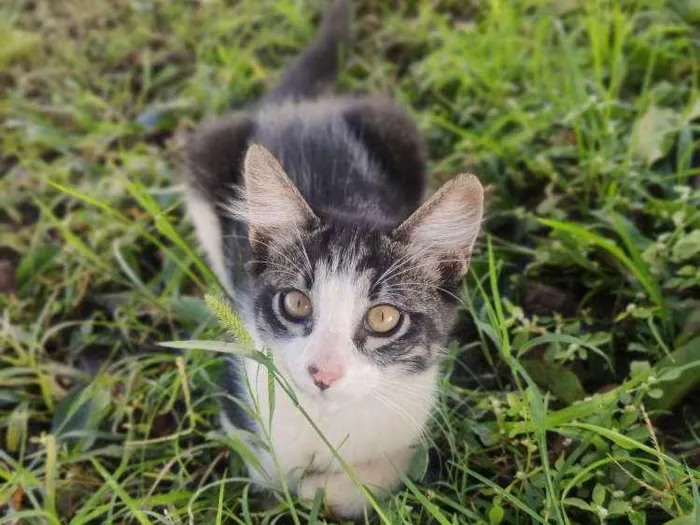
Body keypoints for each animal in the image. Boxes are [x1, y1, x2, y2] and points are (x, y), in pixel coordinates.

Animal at [183, 0, 484, 516]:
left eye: (383, 317)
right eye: (295, 303)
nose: (322, 373)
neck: (329, 420)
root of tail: (297, 109)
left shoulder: (411, 415)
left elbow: (373, 479)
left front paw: (332, 485)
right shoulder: (241, 401)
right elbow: (272, 472)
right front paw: (301, 483)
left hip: (396, 127)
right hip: (207, 155)